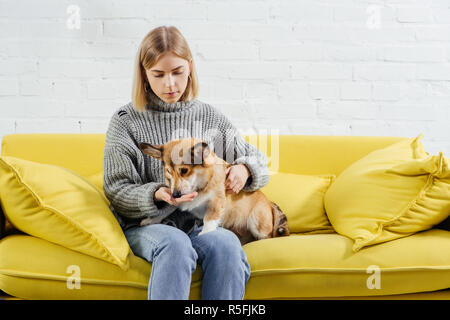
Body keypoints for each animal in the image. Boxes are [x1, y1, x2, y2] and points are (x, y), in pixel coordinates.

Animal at [139, 138, 290, 245]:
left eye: (184, 170)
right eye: (168, 172)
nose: (175, 195)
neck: (199, 185)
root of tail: (270, 204)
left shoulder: (216, 203)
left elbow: (209, 219)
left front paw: (205, 233)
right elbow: (167, 209)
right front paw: (150, 220)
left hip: (257, 223)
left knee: (268, 236)